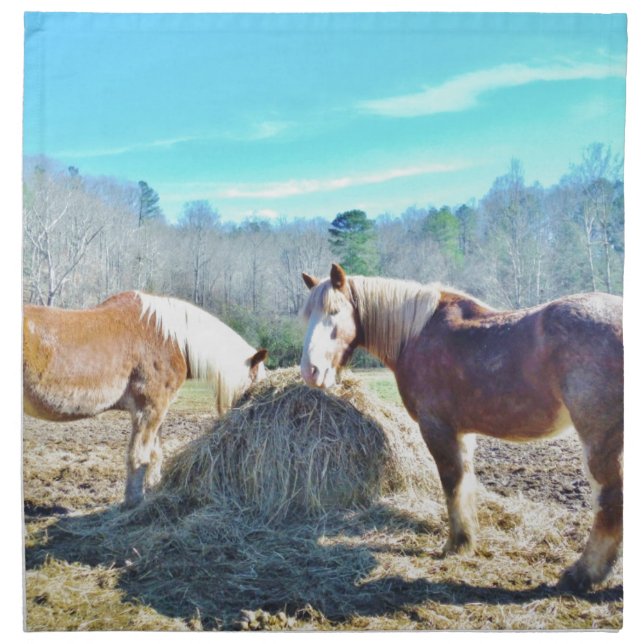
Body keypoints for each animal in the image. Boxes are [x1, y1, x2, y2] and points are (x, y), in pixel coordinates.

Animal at [23, 291, 268, 507]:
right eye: (254, 383)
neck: (170, 338)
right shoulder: (150, 409)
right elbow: (138, 455)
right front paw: (134, 501)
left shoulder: (158, 410)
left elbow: (154, 452)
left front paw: (152, 488)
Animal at [299, 264, 623, 593]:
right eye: (307, 315)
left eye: (335, 311)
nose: (310, 372)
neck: (417, 334)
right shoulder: (462, 433)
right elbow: (465, 481)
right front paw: (467, 538)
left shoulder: (437, 428)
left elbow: (451, 483)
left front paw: (456, 543)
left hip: (600, 439)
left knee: (610, 500)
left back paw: (583, 574)